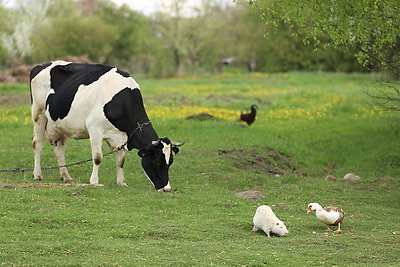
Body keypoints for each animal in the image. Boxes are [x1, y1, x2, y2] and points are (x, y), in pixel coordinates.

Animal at [30, 60, 184, 192]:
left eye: (170, 162)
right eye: (157, 161)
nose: (167, 188)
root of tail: (41, 65)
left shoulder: (123, 136)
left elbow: (121, 161)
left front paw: (122, 182)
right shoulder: (95, 129)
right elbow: (98, 158)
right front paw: (94, 182)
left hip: (59, 124)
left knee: (59, 149)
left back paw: (66, 176)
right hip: (38, 113)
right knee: (38, 144)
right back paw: (37, 174)